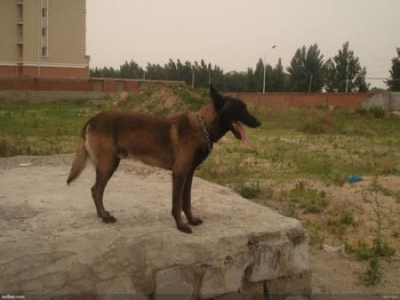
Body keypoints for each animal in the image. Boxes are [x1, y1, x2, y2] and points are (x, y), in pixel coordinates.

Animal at [67, 85, 260, 233]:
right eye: (241, 108)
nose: (259, 122)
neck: (203, 126)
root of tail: (93, 118)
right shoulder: (179, 173)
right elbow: (177, 203)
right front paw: (181, 226)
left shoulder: (189, 174)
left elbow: (186, 201)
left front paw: (191, 220)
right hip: (107, 165)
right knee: (96, 191)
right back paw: (104, 217)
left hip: (111, 164)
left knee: (96, 191)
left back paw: (103, 215)